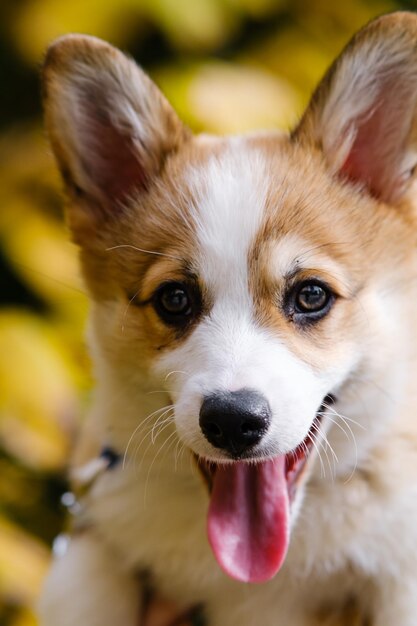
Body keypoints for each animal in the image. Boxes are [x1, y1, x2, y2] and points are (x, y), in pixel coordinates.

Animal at [38, 13, 417, 624]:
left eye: (311, 295)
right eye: (174, 299)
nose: (234, 422)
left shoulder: (401, 575)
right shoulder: (94, 543)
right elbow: (89, 595)